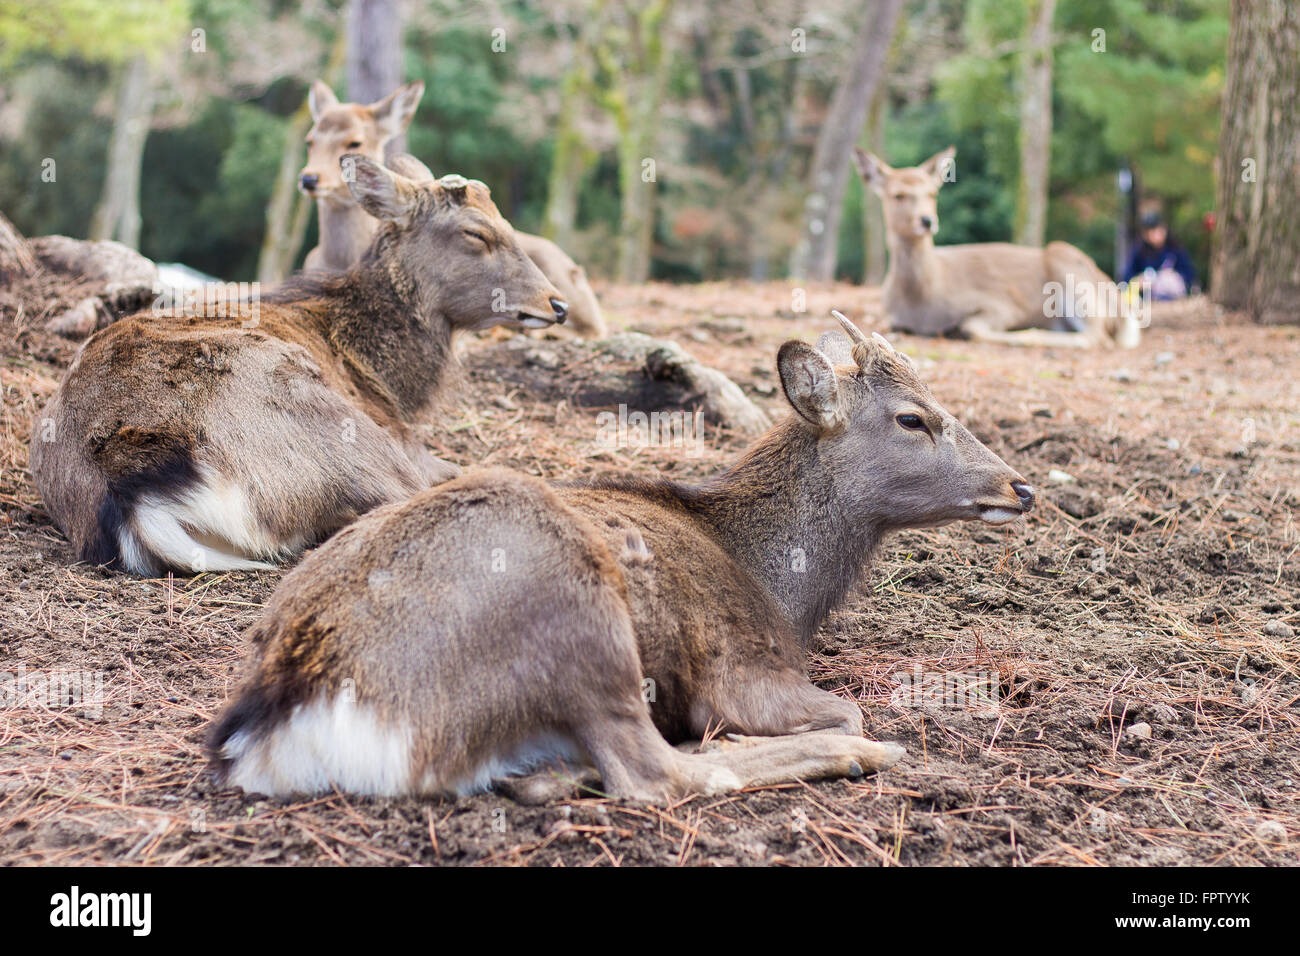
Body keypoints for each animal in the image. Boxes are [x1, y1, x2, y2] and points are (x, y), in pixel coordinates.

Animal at [31, 157, 564, 574]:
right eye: (476, 232)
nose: (556, 304)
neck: (389, 381)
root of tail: (129, 491)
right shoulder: (406, 442)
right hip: (335, 423)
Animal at [205, 312, 1034, 801]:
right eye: (913, 418)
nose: (1019, 485)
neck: (784, 593)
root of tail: (288, 713)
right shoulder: (743, 669)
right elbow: (844, 706)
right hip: (575, 611)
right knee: (654, 773)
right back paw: (858, 754)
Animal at [857, 145, 1144, 348]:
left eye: (932, 193)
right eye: (898, 195)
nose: (927, 220)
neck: (921, 302)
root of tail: (1120, 306)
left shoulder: (1003, 304)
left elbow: (973, 327)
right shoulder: (890, 316)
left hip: (1068, 266)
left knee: (1097, 336)